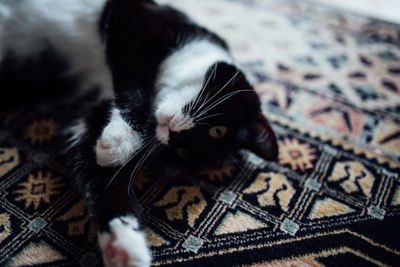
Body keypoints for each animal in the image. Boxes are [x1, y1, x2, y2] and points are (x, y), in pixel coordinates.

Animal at [0, 0, 276, 267]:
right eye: (218, 130)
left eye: (181, 151)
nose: (173, 133)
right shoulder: (134, 19)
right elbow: (136, 83)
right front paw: (122, 139)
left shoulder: (97, 110)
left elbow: (103, 172)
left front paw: (123, 243)